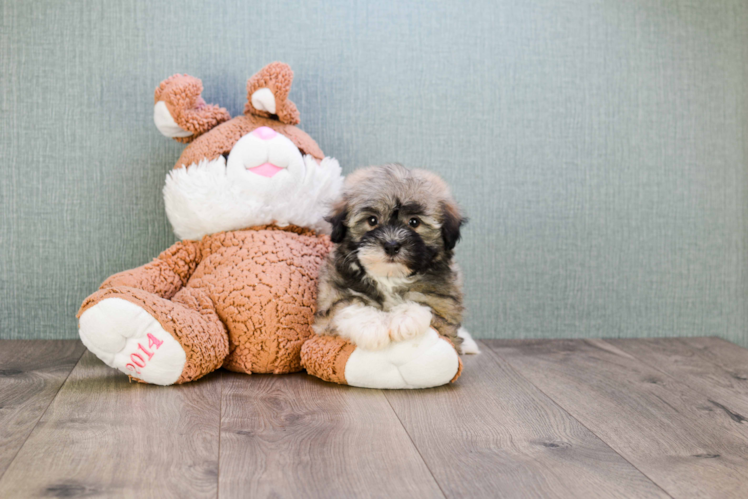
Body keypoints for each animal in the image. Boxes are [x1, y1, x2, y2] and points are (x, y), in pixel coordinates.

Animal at [312, 162, 480, 354]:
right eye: (372, 220)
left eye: (414, 222)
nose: (391, 245)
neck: (389, 278)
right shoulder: (330, 301)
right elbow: (346, 305)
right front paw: (372, 328)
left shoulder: (446, 307)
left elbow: (426, 302)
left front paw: (405, 319)